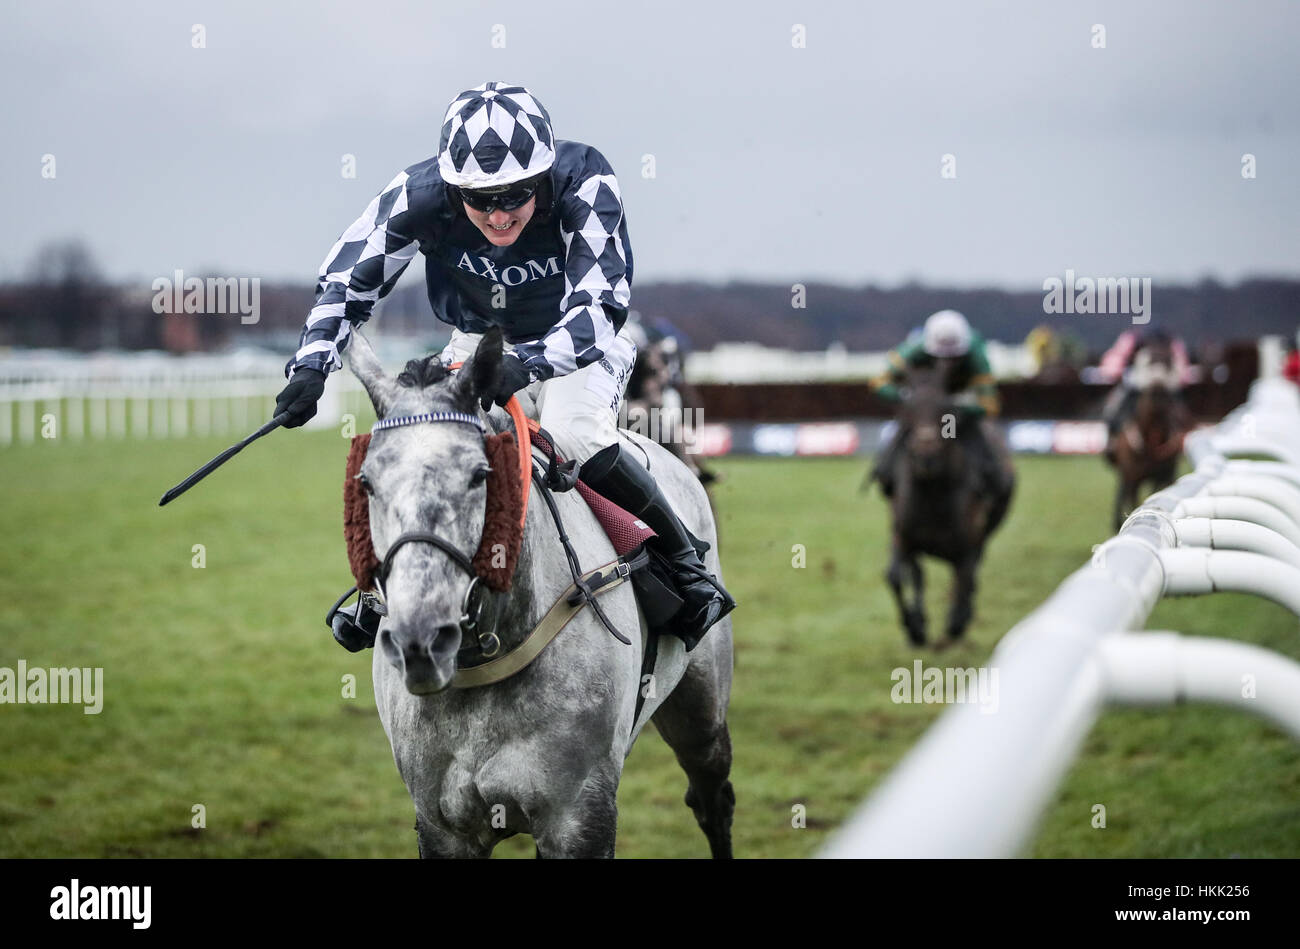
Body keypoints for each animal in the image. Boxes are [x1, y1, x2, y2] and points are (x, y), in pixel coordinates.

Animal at [345, 327, 733, 857]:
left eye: (480, 475)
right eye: (366, 482)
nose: (420, 641)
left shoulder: (579, 817)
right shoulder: (443, 826)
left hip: (701, 713)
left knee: (712, 798)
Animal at [878, 366, 1008, 647]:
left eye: (946, 408)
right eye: (908, 408)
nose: (926, 456)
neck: (932, 494)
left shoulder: (968, 543)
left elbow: (966, 576)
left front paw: (957, 621)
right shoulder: (902, 535)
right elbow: (896, 577)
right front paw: (915, 628)